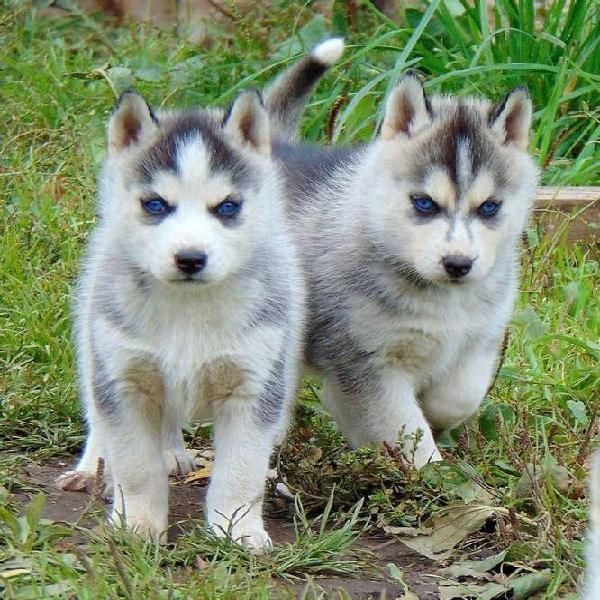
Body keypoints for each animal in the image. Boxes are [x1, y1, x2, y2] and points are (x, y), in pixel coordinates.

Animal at [56, 89, 308, 548]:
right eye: (156, 204)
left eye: (227, 207)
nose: (191, 258)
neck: (188, 307)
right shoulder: (124, 380)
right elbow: (136, 467)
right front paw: (136, 525)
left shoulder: (253, 385)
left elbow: (241, 470)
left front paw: (238, 530)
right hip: (95, 345)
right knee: (102, 418)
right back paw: (95, 465)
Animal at [268, 52, 540, 464]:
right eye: (424, 203)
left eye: (489, 207)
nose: (458, 264)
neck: (443, 297)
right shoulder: (368, 362)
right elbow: (405, 426)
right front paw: (429, 473)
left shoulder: (480, 337)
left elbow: (459, 397)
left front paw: (433, 418)